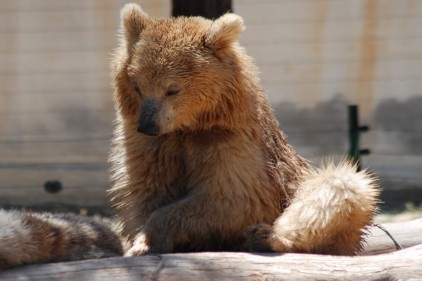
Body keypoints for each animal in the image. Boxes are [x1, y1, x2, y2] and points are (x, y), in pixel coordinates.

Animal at [109, 2, 380, 256]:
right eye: (136, 85)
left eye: (172, 89)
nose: (147, 125)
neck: (193, 124)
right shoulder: (153, 145)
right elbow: (145, 190)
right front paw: (141, 242)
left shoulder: (231, 143)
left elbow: (230, 197)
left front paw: (149, 239)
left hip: (301, 187)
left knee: (340, 187)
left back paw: (268, 237)